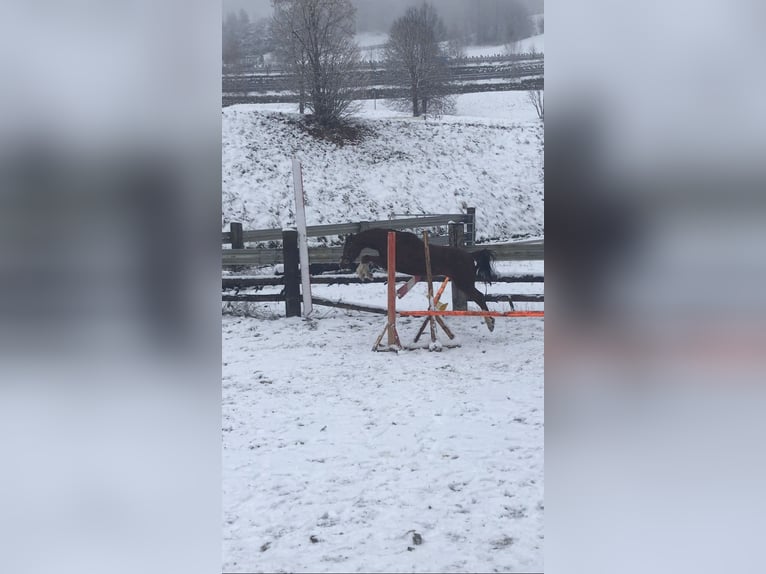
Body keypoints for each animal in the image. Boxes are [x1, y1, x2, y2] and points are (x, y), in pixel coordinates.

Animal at [340, 227, 498, 330]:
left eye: (349, 246)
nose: (343, 263)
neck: (390, 241)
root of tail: (470, 255)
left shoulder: (387, 262)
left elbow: (366, 257)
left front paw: (364, 273)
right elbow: (366, 257)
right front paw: (365, 273)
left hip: (463, 282)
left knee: (479, 297)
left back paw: (490, 323)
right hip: (462, 282)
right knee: (479, 297)